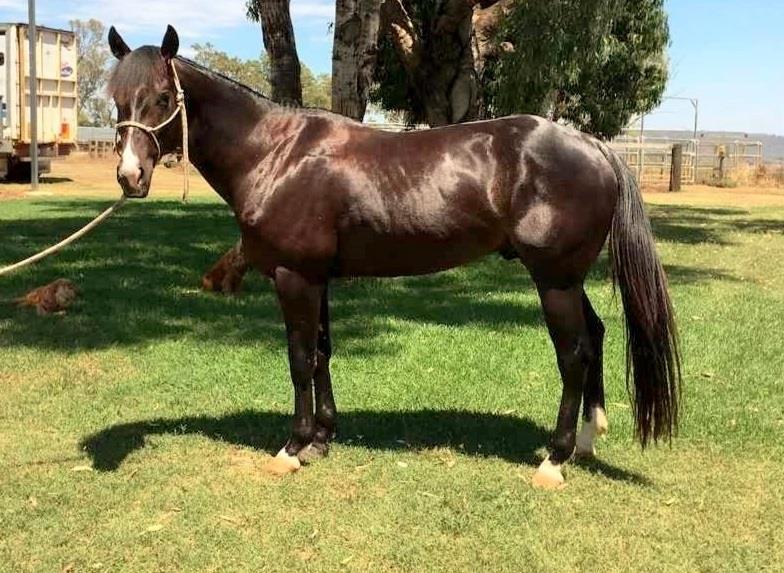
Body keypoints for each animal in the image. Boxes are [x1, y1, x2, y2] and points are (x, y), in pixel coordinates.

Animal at [107, 26, 680, 488]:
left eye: (162, 97)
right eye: (117, 100)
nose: (130, 176)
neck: (275, 154)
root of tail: (593, 145)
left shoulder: (294, 277)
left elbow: (298, 359)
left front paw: (292, 448)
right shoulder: (318, 278)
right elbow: (322, 354)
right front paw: (322, 438)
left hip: (554, 281)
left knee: (574, 355)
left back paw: (554, 461)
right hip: (565, 278)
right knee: (597, 336)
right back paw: (586, 440)